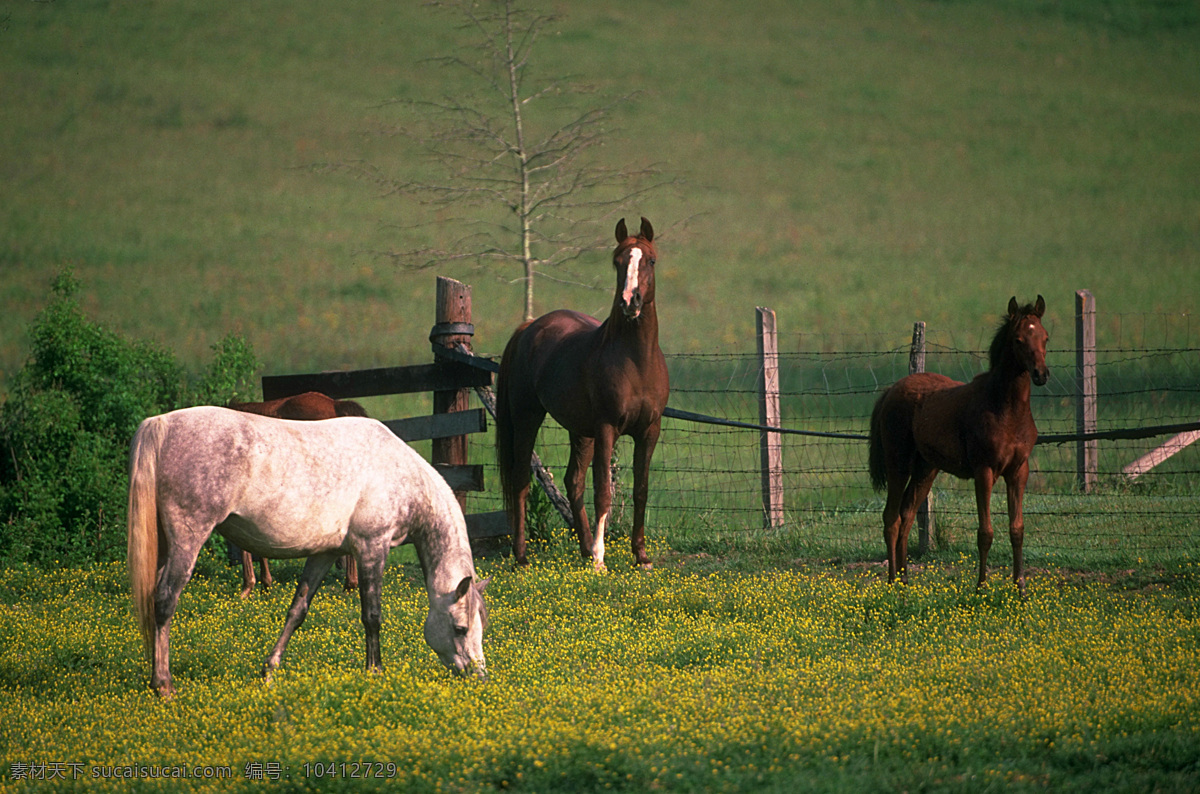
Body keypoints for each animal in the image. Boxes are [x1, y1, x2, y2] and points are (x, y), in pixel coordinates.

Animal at [492, 215, 672, 573]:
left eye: (650, 260)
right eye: (617, 261)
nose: (630, 302)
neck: (636, 361)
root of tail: (529, 328)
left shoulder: (649, 431)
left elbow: (641, 490)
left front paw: (641, 557)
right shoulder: (607, 429)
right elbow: (603, 492)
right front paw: (601, 560)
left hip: (580, 431)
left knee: (573, 481)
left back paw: (585, 549)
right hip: (528, 418)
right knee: (520, 480)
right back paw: (524, 557)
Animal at [868, 298, 1046, 597]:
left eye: (1045, 337)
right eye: (1019, 340)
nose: (1041, 374)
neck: (1005, 408)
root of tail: (891, 391)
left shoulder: (1018, 472)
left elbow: (1017, 530)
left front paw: (1020, 589)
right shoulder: (984, 471)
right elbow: (985, 532)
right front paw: (981, 588)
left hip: (925, 470)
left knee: (907, 515)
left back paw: (905, 582)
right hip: (898, 464)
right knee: (891, 518)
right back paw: (893, 584)